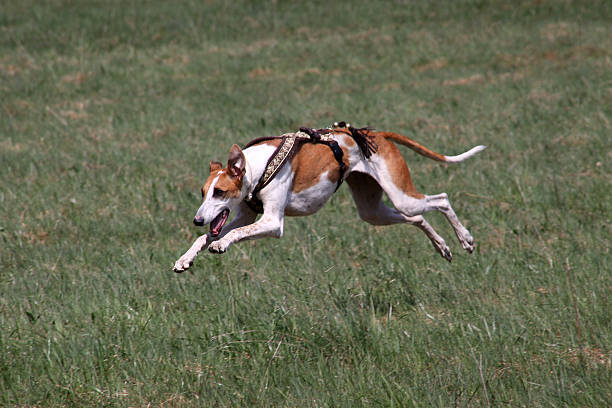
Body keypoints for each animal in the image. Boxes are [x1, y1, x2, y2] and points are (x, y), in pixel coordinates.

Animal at [175, 122, 486, 272]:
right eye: (203, 192)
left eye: (220, 192)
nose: (197, 219)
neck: (258, 166)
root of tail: (376, 134)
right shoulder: (247, 213)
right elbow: (205, 237)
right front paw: (185, 259)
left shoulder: (273, 222)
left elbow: (232, 235)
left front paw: (221, 244)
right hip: (374, 211)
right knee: (418, 217)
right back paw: (442, 246)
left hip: (401, 196)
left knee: (441, 199)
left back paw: (465, 239)